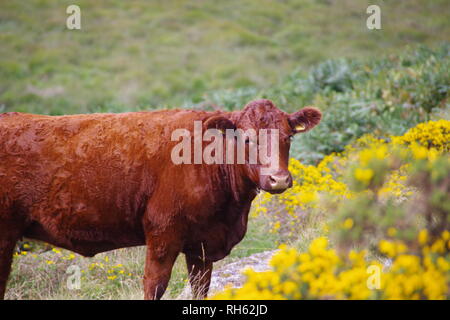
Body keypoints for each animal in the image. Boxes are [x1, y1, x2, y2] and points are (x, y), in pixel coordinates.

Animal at [0, 98, 320, 300]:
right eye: (247, 139)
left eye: (288, 137)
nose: (279, 179)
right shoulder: (163, 234)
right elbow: (154, 286)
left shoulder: (202, 247)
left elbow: (200, 289)